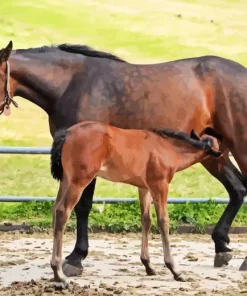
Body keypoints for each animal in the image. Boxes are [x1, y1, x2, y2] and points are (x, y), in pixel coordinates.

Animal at [49, 121, 222, 284]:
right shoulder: (160, 186)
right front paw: (175, 270)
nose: (222, 164)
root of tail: (68, 133)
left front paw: (148, 265)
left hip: (66, 180)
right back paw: (58, 273)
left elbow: (146, 220)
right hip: (79, 181)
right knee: (63, 212)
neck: (167, 148)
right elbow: (163, 221)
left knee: (55, 210)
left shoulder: (144, 188)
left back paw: (55, 270)